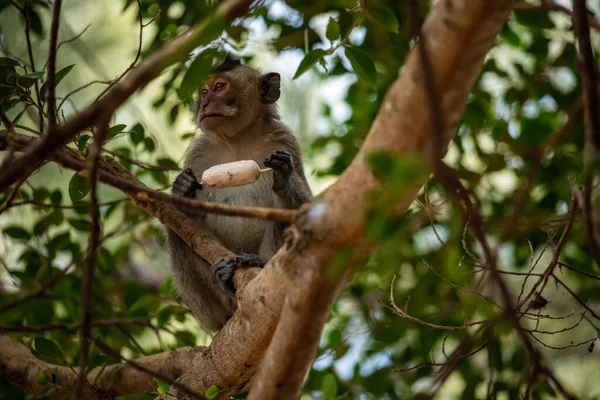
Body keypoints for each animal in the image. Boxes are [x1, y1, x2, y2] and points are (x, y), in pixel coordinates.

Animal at [165, 54, 312, 332]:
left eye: (219, 87)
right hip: (210, 314)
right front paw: (183, 188)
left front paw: (284, 179)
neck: (237, 143)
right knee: (176, 233)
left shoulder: (285, 142)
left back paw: (258, 264)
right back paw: (225, 285)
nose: (204, 104)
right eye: (203, 91)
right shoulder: (198, 154)